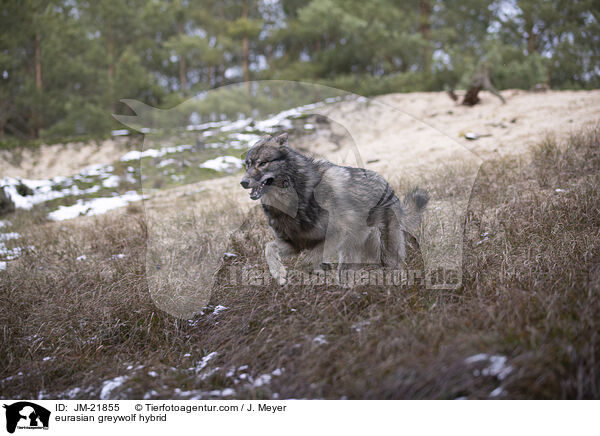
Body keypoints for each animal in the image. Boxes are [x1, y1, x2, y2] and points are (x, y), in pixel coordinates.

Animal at [239, 131, 426, 284]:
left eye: (263, 163)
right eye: (248, 164)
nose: (243, 182)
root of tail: (390, 188)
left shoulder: (335, 234)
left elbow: (306, 262)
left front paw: (318, 271)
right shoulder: (294, 243)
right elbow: (269, 249)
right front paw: (279, 274)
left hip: (383, 251)